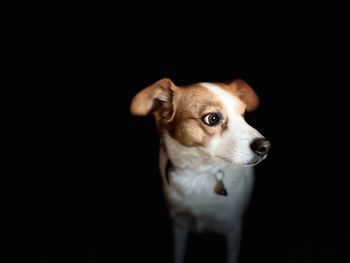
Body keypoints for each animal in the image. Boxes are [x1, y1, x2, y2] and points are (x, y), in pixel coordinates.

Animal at [130, 77, 270, 262]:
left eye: (243, 115)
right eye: (212, 118)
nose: (265, 147)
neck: (199, 173)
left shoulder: (233, 230)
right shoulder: (179, 225)